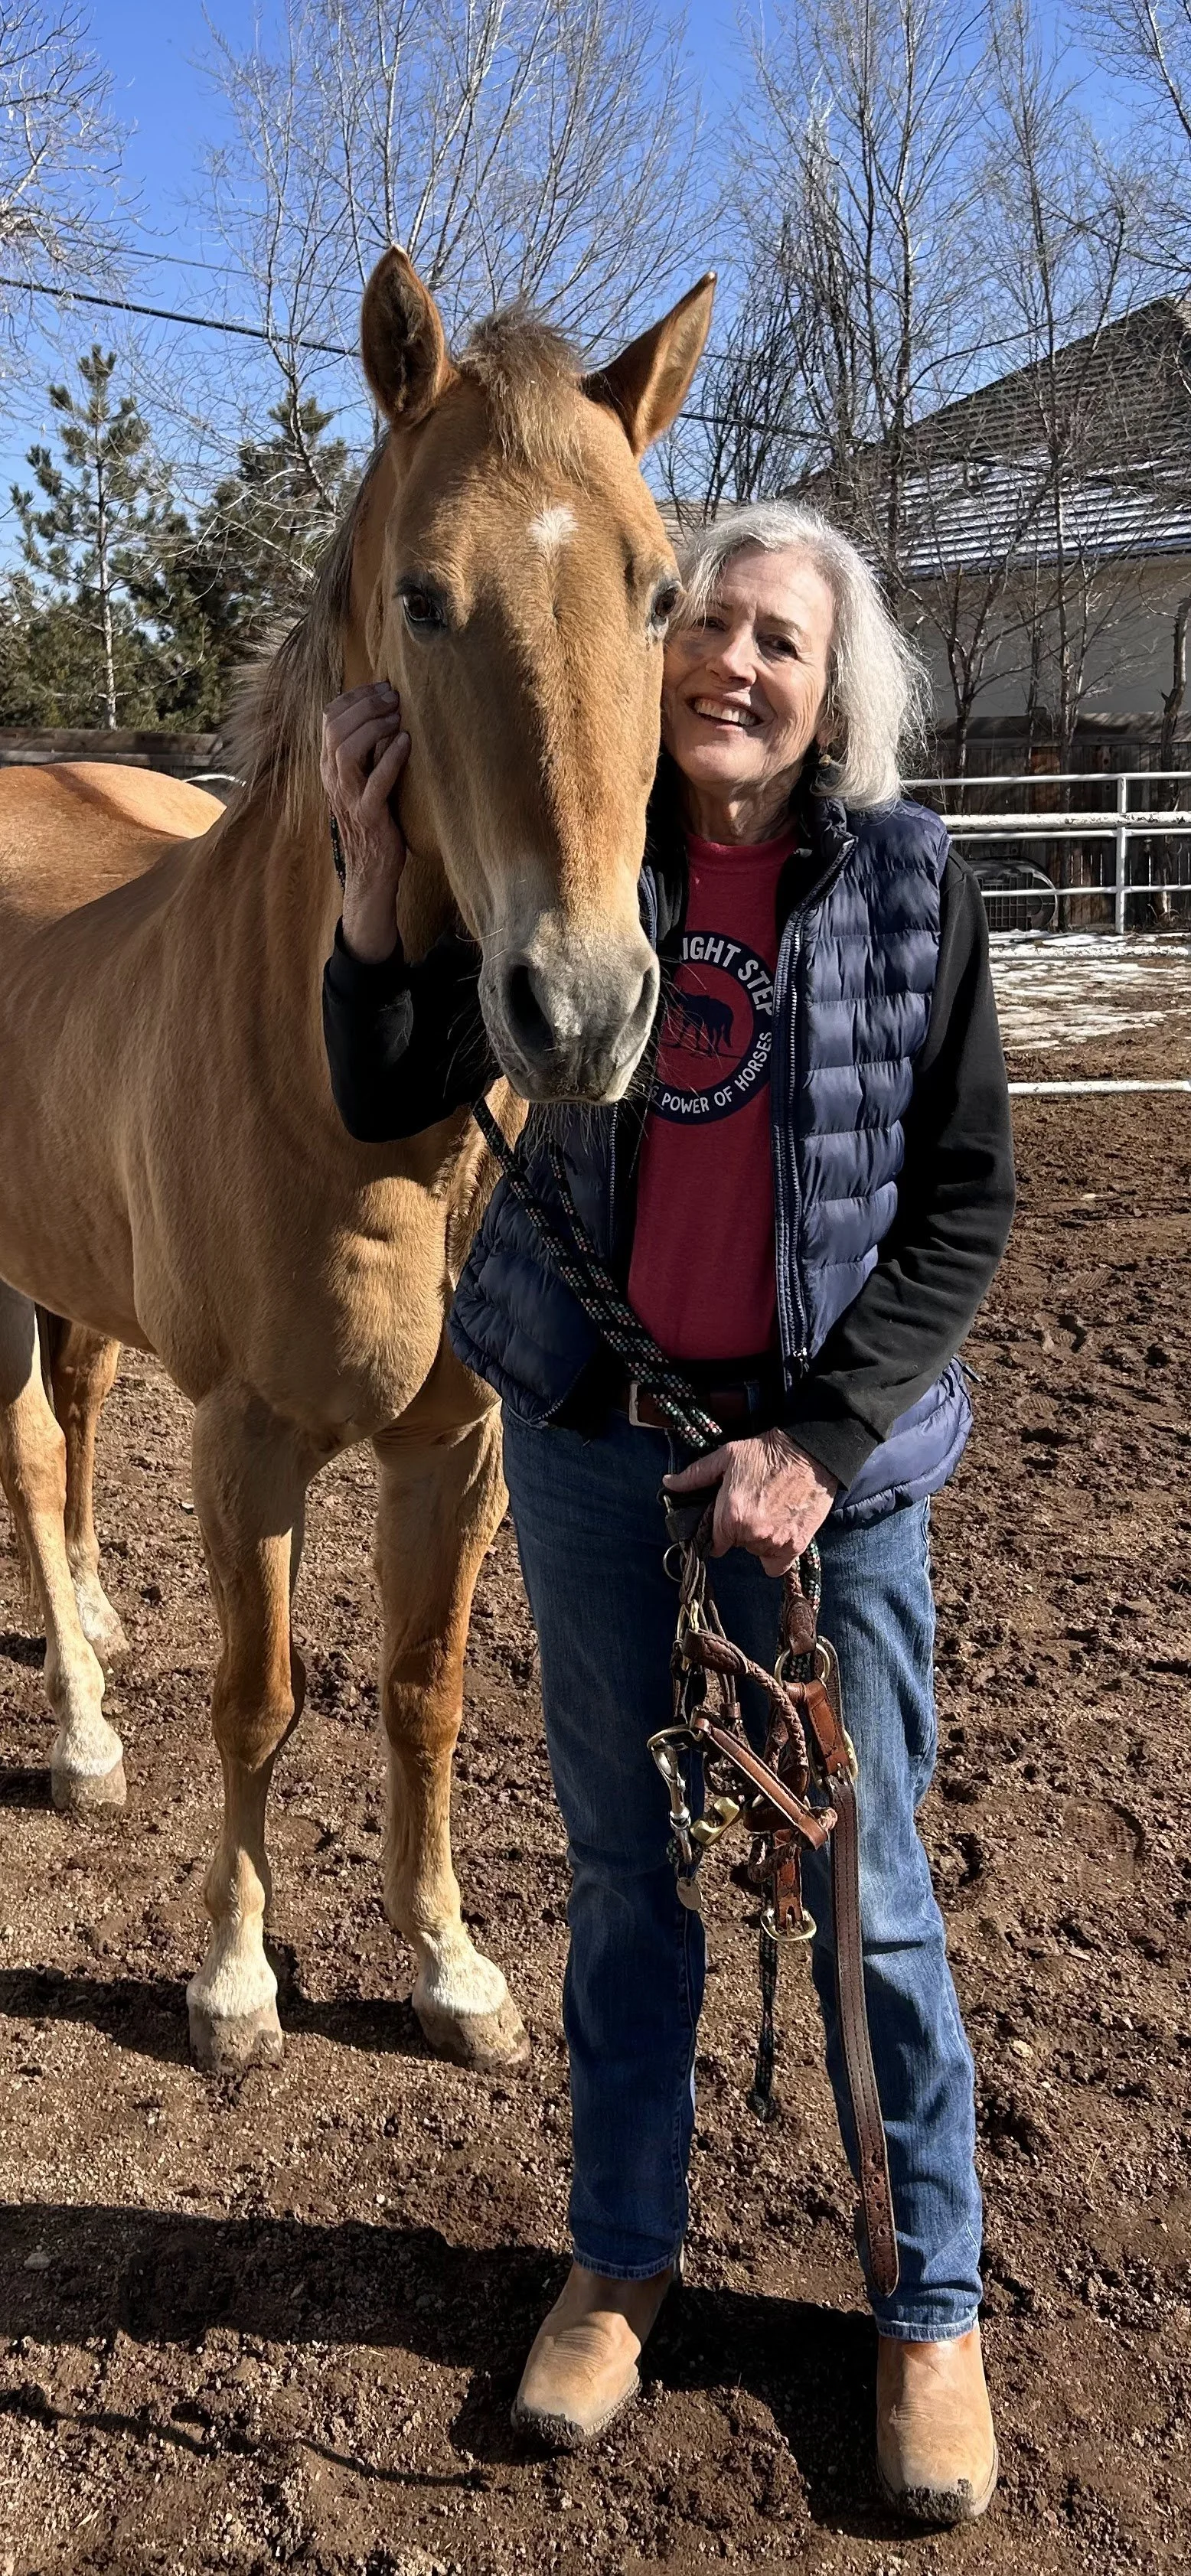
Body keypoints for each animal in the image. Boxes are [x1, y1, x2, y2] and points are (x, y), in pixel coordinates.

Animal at [0, 247, 714, 2076]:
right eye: (423, 599)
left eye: (663, 595)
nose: (581, 1007)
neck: (365, 1109)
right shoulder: (250, 1440)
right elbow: (259, 1701)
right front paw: (236, 1981)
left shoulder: (452, 1449)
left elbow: (421, 1689)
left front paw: (450, 1962)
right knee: (33, 1450)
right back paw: (84, 1737)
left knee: (79, 1421)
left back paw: (91, 1620)